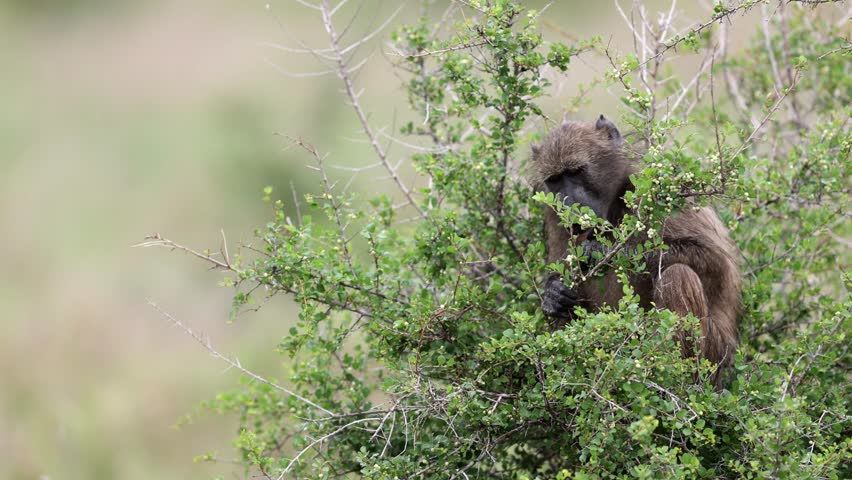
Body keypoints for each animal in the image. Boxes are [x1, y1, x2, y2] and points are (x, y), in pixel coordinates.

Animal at [529, 115, 742, 388]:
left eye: (576, 171)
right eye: (554, 180)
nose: (570, 206)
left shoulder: (655, 187)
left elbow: (715, 261)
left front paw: (603, 251)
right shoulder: (552, 211)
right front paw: (553, 293)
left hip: (713, 356)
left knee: (678, 276)